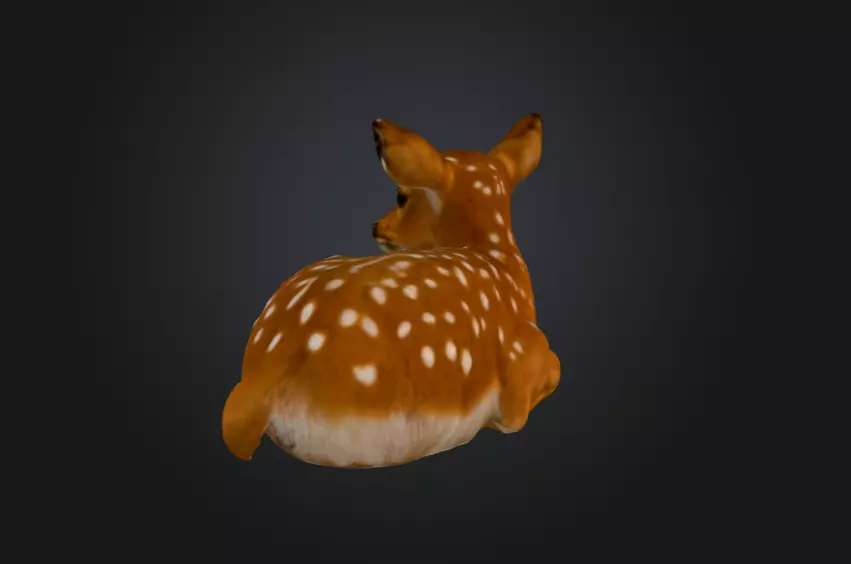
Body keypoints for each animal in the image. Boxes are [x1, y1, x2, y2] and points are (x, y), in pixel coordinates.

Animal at [222, 113, 561, 468]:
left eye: (401, 196)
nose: (376, 226)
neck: (501, 263)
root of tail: (259, 385)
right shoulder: (520, 367)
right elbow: (539, 386)